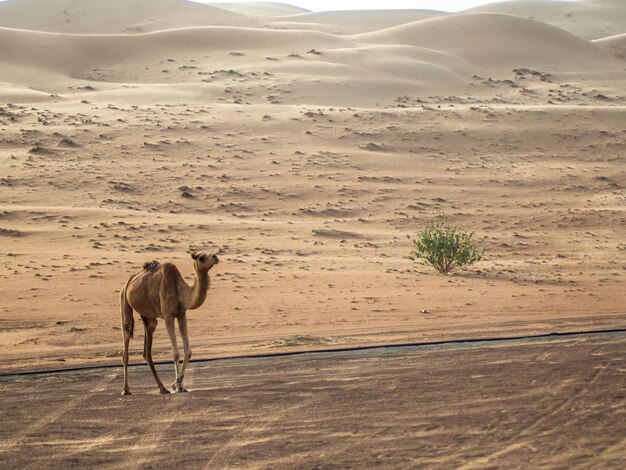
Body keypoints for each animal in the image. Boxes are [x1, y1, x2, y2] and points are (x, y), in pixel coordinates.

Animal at [118, 252, 218, 394]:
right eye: (201, 257)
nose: (215, 256)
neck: (180, 291)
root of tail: (128, 282)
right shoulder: (168, 316)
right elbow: (175, 353)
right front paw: (177, 385)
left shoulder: (182, 314)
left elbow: (188, 351)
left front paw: (180, 384)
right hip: (124, 299)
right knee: (126, 334)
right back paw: (126, 389)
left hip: (148, 316)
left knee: (147, 349)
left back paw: (162, 388)